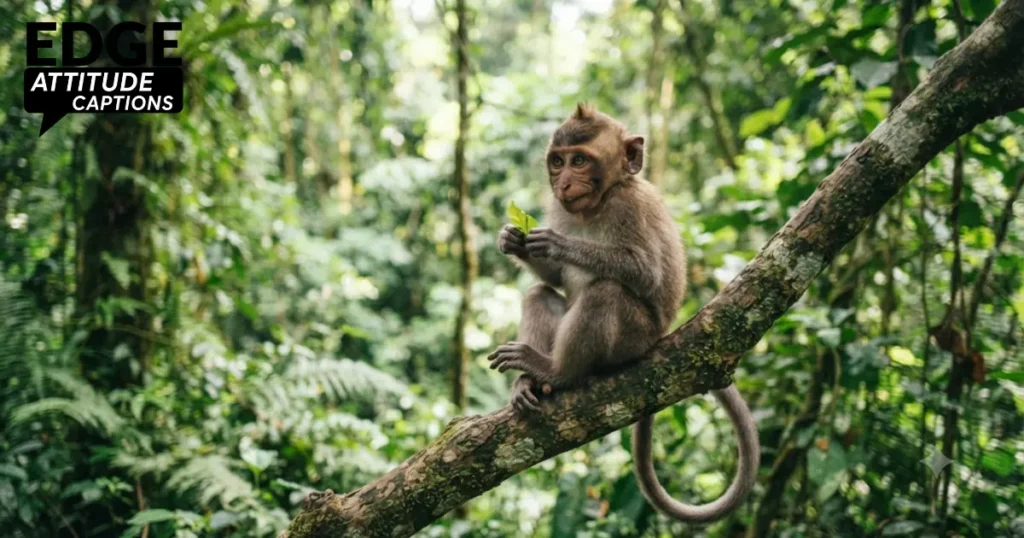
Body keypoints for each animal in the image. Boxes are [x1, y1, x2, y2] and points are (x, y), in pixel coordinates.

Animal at [492, 103, 759, 523]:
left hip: (635, 337)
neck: (597, 205)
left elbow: (643, 270)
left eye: (580, 161)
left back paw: (557, 372)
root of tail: (660, 338)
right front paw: (513, 240)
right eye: (557, 162)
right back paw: (533, 383)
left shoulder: (628, 208)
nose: (563, 183)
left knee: (606, 292)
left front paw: (556, 243)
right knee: (540, 294)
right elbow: (552, 277)